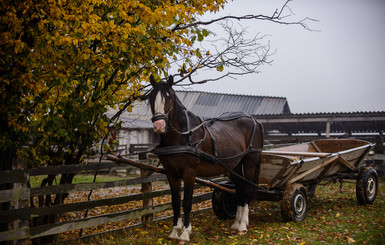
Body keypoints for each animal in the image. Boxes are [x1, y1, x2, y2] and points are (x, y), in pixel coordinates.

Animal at [147, 75, 264, 242]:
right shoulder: (171, 174)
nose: (159, 125)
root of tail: (254, 120)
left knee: (247, 190)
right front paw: (174, 231)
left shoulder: (189, 173)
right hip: (234, 166)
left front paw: (185, 233)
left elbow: (186, 203)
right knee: (240, 189)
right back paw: (236, 223)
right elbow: (175, 202)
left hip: (250, 161)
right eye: (151, 97)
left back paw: (243, 225)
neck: (183, 137)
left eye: (169, 97)